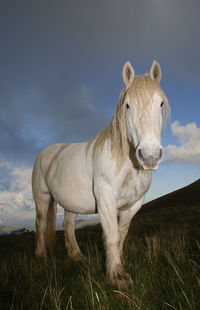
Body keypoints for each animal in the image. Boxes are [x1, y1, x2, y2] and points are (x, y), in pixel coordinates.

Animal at [32, 60, 170, 288]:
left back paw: (76, 256)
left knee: (68, 226)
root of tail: (45, 153)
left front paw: (120, 264)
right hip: (42, 198)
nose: (149, 156)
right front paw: (116, 278)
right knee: (41, 224)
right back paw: (40, 255)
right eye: (127, 105)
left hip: (70, 203)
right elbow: (112, 234)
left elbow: (121, 234)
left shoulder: (134, 205)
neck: (126, 163)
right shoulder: (105, 198)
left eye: (160, 103)